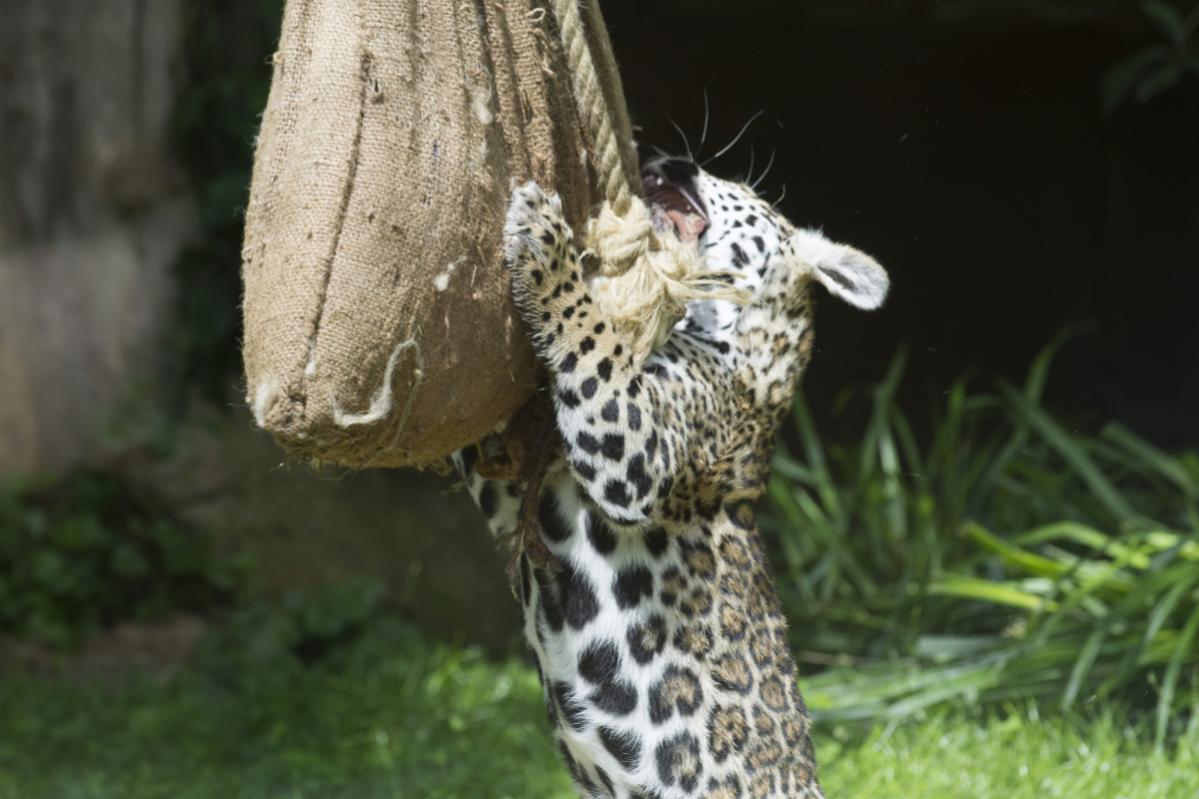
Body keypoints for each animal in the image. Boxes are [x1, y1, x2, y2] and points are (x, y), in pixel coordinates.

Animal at [454, 154, 889, 798]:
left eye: (746, 187)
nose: (668, 162)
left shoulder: (635, 450)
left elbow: (593, 341)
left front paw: (547, 244)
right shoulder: (520, 491)